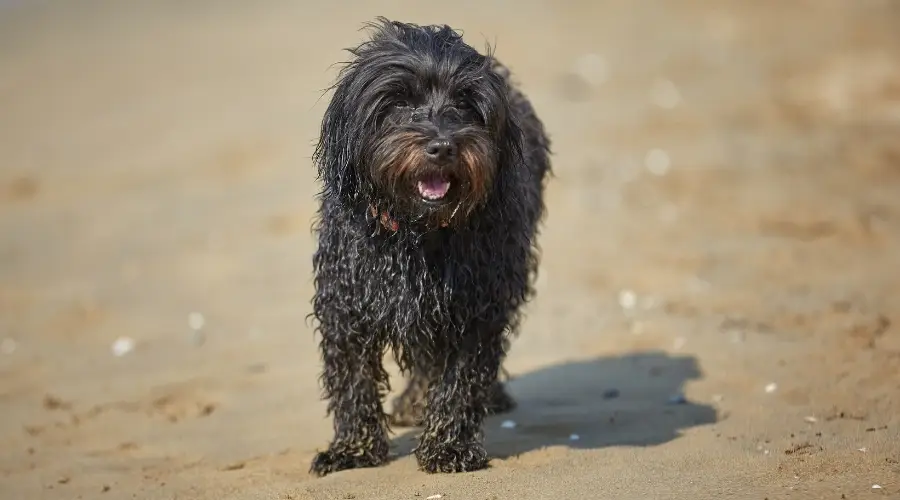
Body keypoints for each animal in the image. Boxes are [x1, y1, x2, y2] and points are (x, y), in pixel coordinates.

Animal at [308, 16, 548, 476]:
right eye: (400, 101)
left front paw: (449, 448)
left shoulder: (476, 308)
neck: (417, 232)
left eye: (466, 104)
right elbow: (353, 380)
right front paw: (354, 450)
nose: (442, 146)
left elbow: (460, 381)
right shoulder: (346, 304)